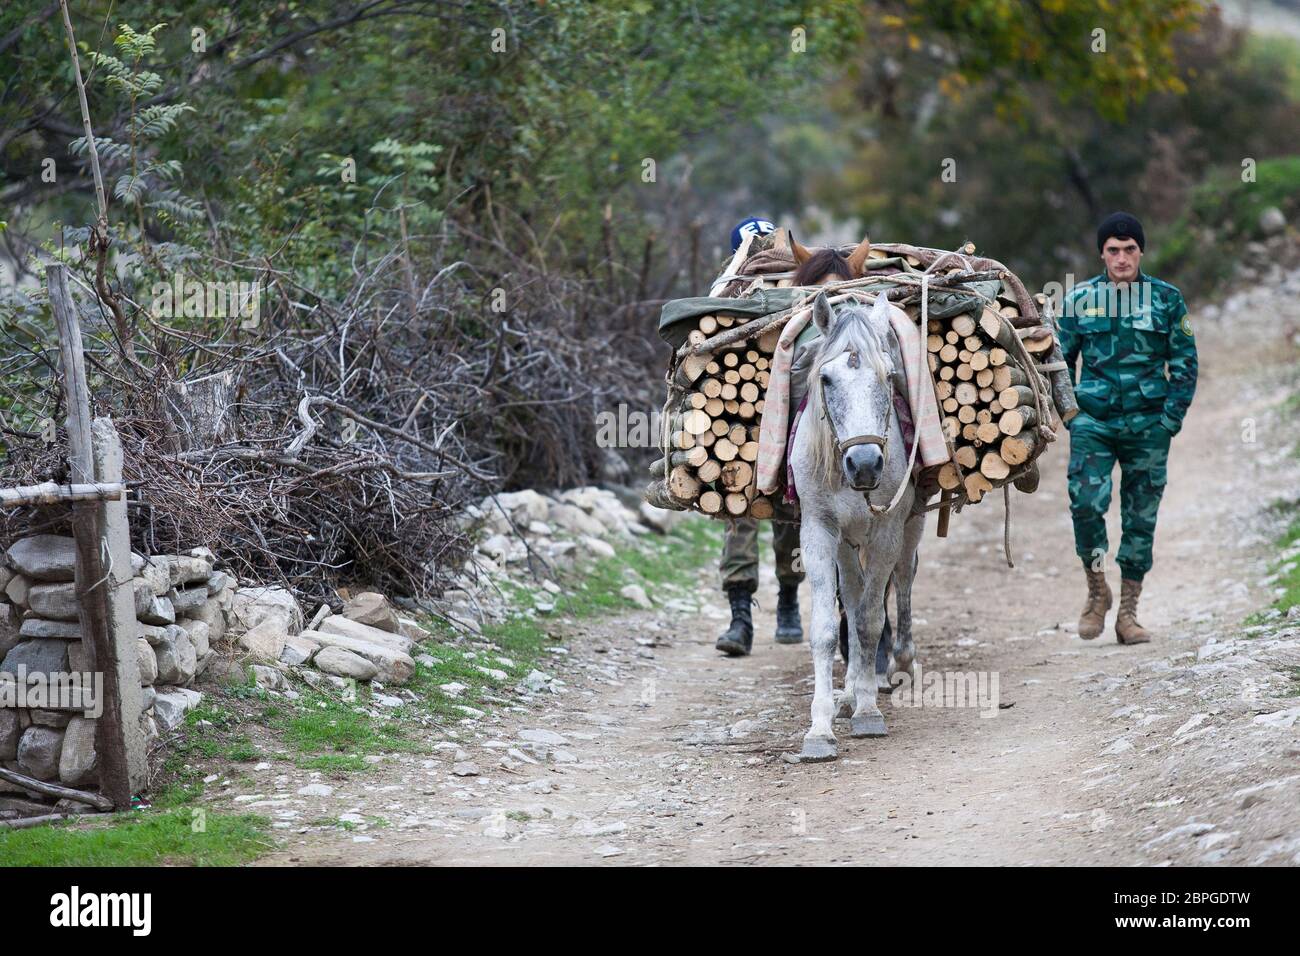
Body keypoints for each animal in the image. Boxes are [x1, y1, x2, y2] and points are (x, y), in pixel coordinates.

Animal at [790, 291, 925, 764]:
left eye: (889, 376)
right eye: (826, 379)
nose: (864, 464)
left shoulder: (888, 531)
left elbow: (868, 619)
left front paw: (867, 711)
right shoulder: (818, 530)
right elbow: (828, 627)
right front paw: (819, 729)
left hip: (911, 526)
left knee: (902, 580)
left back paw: (900, 661)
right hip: (847, 541)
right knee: (851, 590)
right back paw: (848, 689)